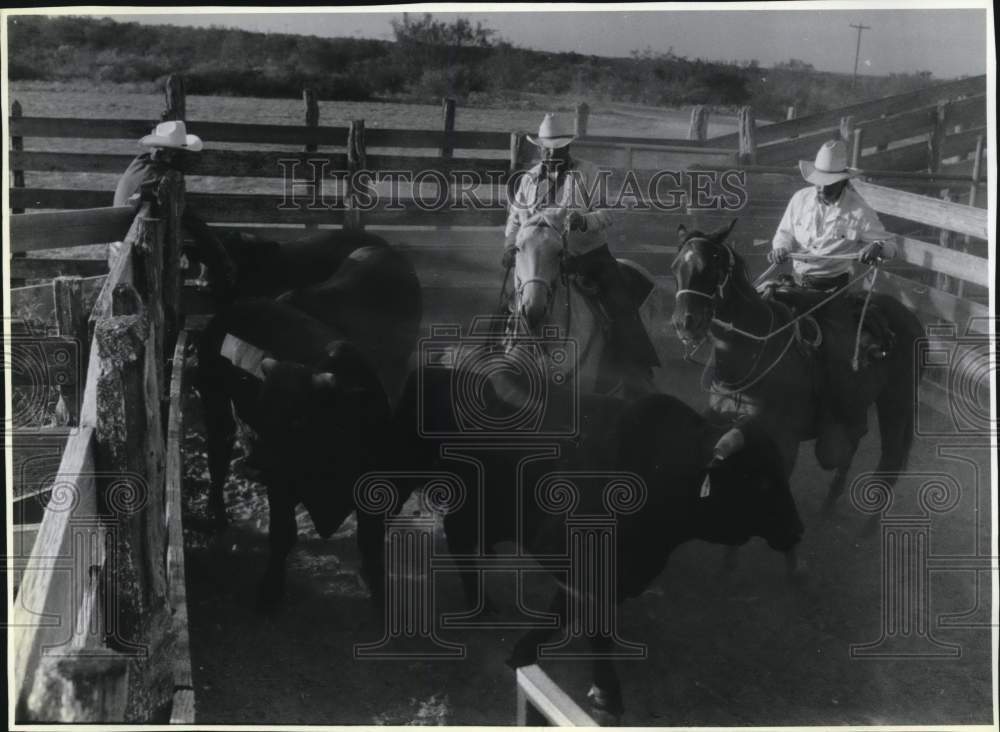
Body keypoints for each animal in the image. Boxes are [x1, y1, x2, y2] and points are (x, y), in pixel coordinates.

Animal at [195, 298, 398, 612]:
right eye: (260, 414)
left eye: (298, 420)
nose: (254, 465)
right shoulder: (281, 485)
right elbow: (282, 535)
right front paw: (270, 591)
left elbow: (370, 542)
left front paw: (378, 591)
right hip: (216, 410)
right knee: (217, 460)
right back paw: (215, 514)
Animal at [390, 360, 804, 720]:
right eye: (759, 480)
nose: (797, 530)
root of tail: (437, 368)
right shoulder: (577, 563)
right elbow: (590, 624)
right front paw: (605, 694)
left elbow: (566, 615)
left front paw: (525, 653)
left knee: (460, 536)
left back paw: (482, 605)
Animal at [668, 220, 924, 512]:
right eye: (675, 267)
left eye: (712, 264)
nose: (685, 323)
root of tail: (909, 316)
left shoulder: (784, 442)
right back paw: (828, 506)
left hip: (896, 402)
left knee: (889, 461)